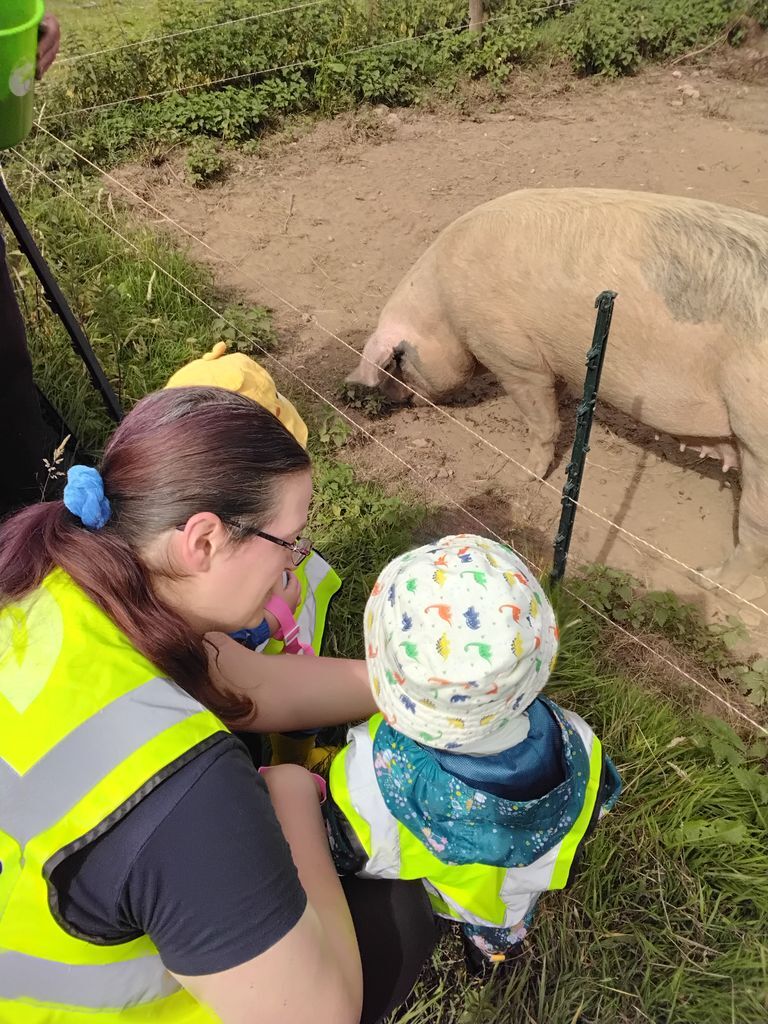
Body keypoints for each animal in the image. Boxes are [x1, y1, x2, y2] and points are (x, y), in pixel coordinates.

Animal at [347, 188, 768, 590]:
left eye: (399, 360)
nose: (400, 401)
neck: (443, 308)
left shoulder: (512, 355)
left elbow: (542, 418)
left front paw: (522, 478)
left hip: (756, 433)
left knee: (754, 531)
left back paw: (707, 579)